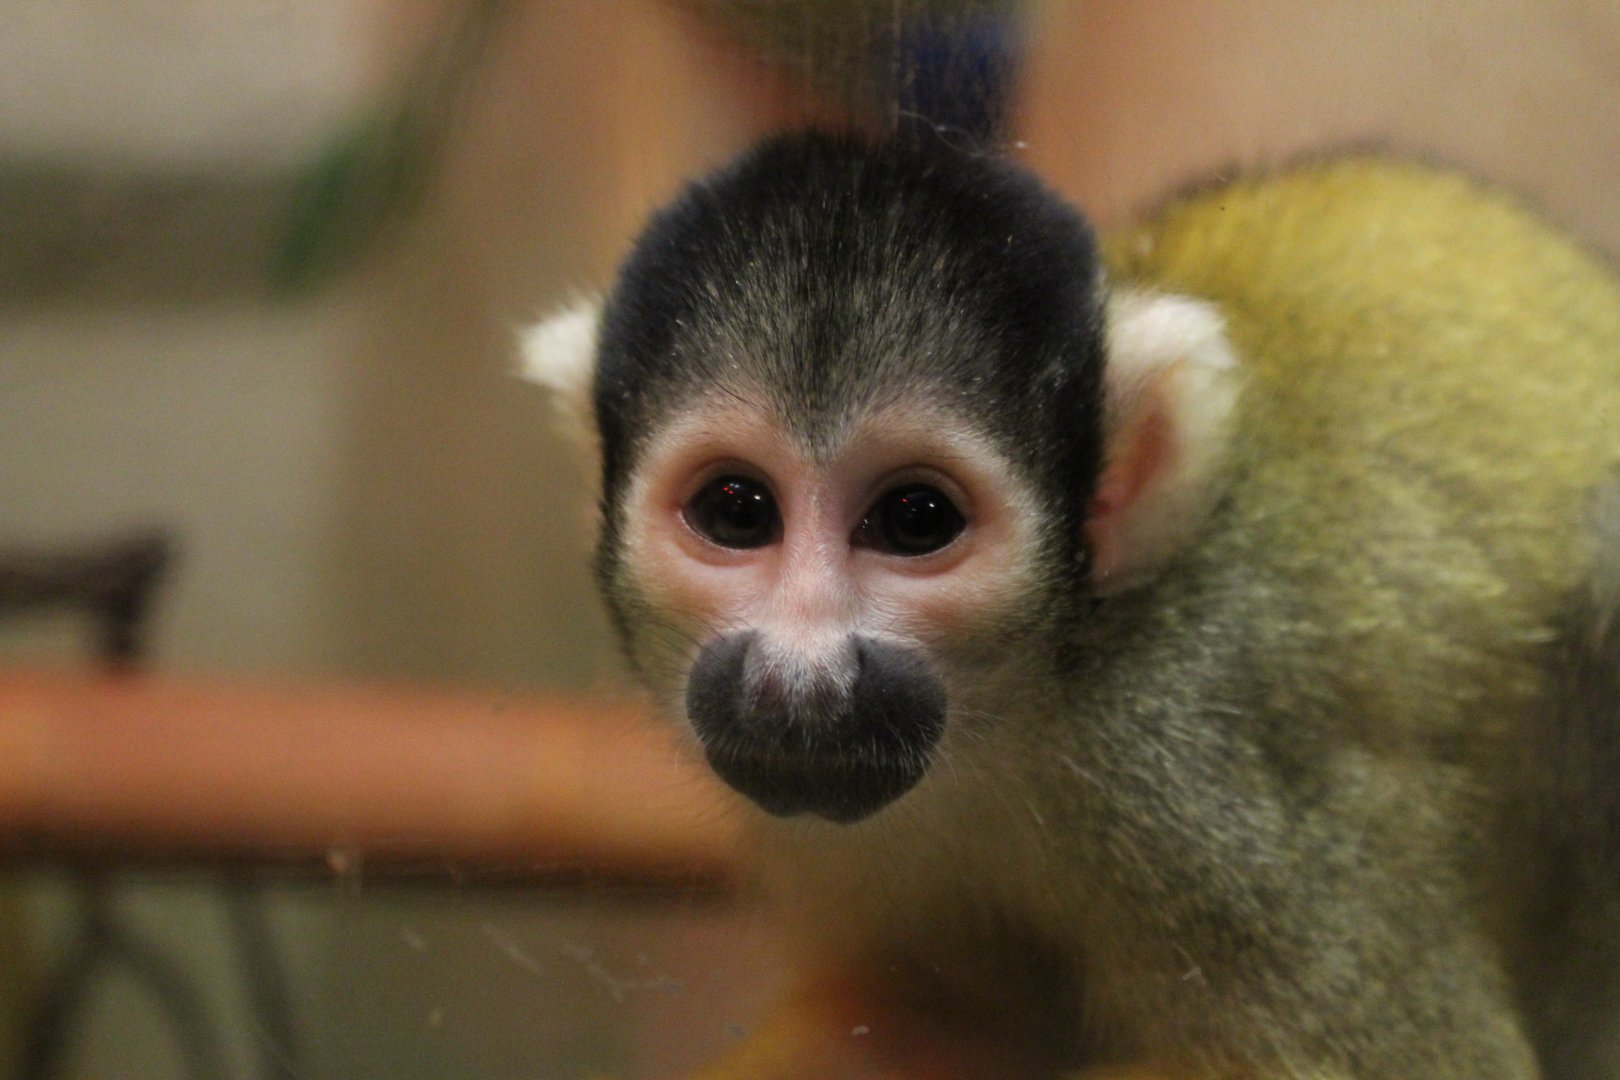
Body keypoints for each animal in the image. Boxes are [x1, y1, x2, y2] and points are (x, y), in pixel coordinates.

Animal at [521, 133, 1620, 1078]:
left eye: (916, 519)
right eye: (737, 510)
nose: (804, 676)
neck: (1038, 699)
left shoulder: (1201, 773)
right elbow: (910, 1022)